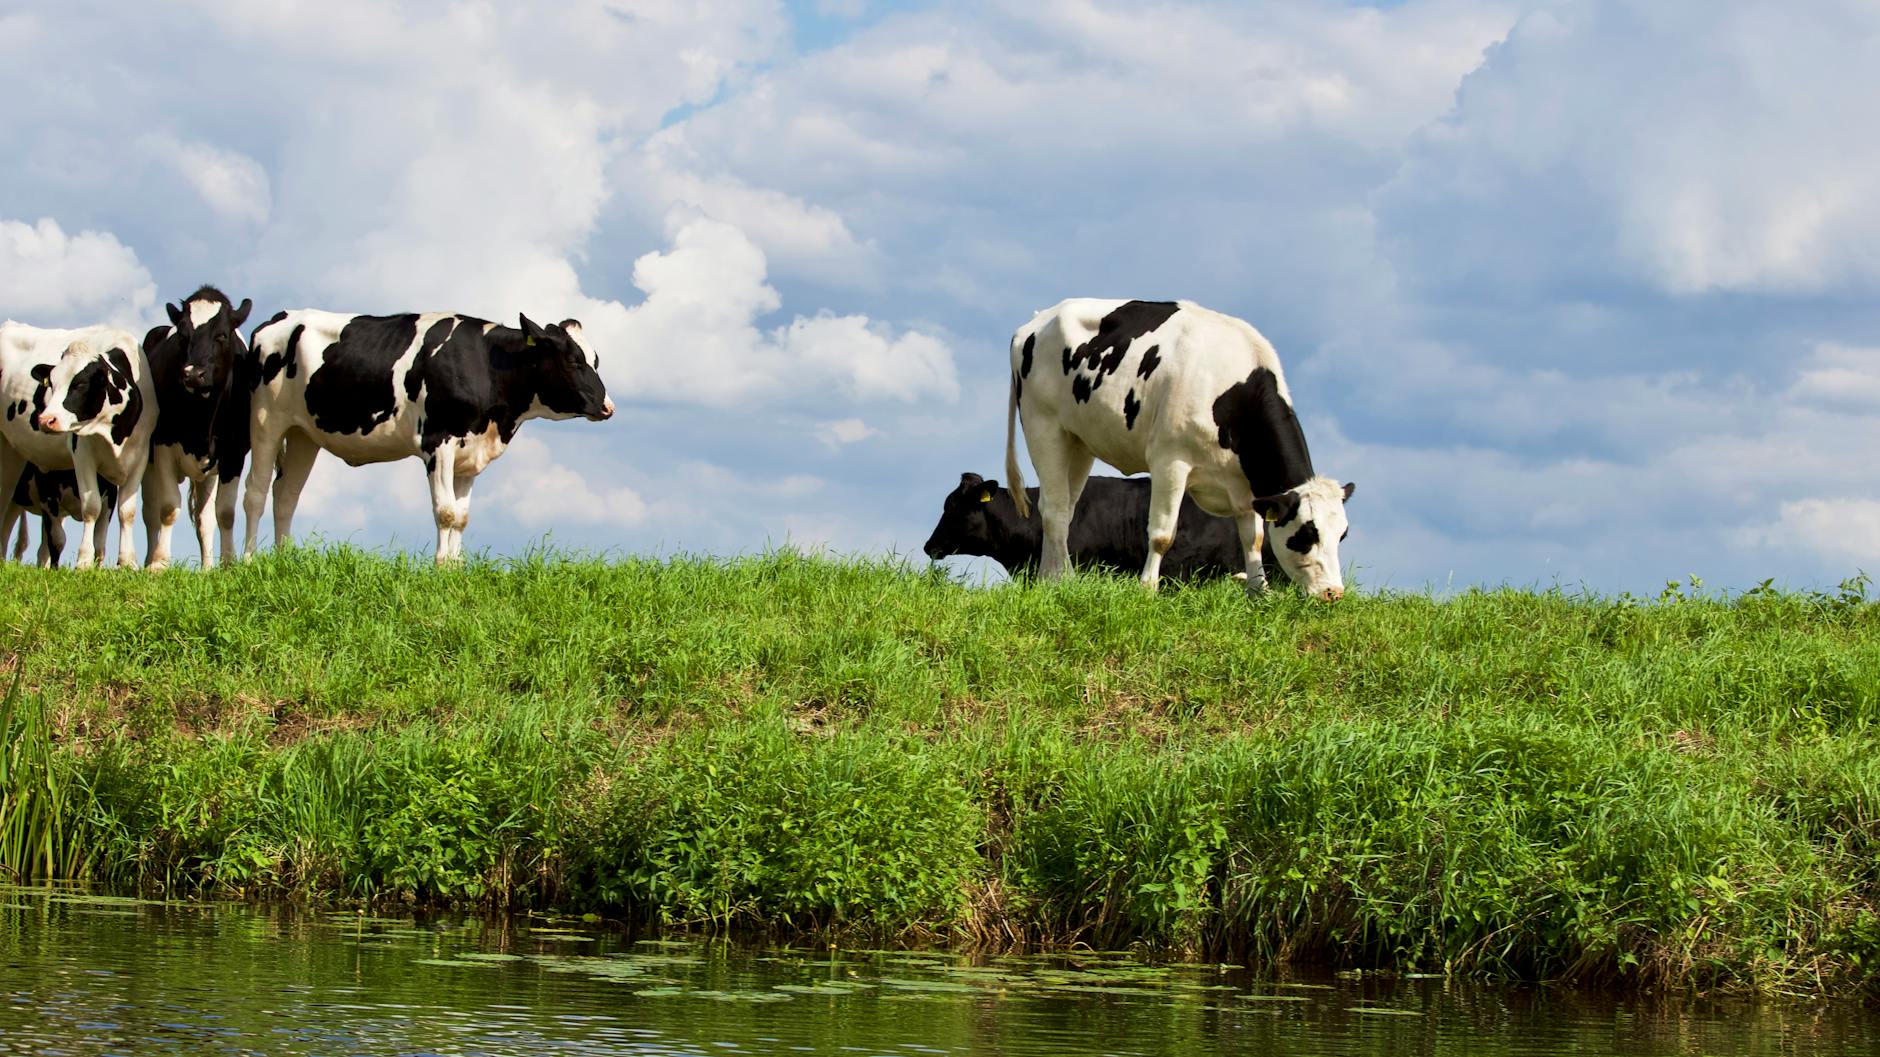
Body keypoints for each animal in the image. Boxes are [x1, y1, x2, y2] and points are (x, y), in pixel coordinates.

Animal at [0, 322, 155, 568]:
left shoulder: (140, 455)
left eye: (81, 384)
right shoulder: (82, 454)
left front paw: (127, 562)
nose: (46, 419)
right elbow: (91, 507)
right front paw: (83, 562)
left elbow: (127, 512)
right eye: (52, 384)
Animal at [141, 285, 254, 569]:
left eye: (222, 335)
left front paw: (226, 564)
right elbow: (168, 508)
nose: (193, 374)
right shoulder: (162, 447)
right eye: (183, 334)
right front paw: (159, 563)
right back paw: (147, 560)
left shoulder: (234, 453)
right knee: (150, 512)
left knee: (204, 518)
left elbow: (224, 513)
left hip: (208, 474)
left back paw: (206, 567)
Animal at [243, 310, 615, 564]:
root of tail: (280, 318)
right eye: (573, 360)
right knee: (256, 493)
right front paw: (440, 568)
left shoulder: (469, 452)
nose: (607, 406)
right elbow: (445, 511)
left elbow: (462, 517)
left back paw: (284, 561)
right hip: (266, 421)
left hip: (303, 433)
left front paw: (455, 568)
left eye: (596, 359)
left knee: (286, 494)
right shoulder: (438, 442)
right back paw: (247, 562)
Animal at [1005, 299, 1353, 600]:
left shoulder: (1243, 486)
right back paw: (1063, 578)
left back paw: (1050, 579)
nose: (1333, 593)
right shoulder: (1169, 462)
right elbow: (1162, 534)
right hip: (1043, 426)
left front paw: (1259, 591)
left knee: (1063, 508)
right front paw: (1147, 589)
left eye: (1342, 535)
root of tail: (1037, 320)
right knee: (1054, 509)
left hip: (1078, 440)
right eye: (1307, 534)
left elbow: (1252, 538)